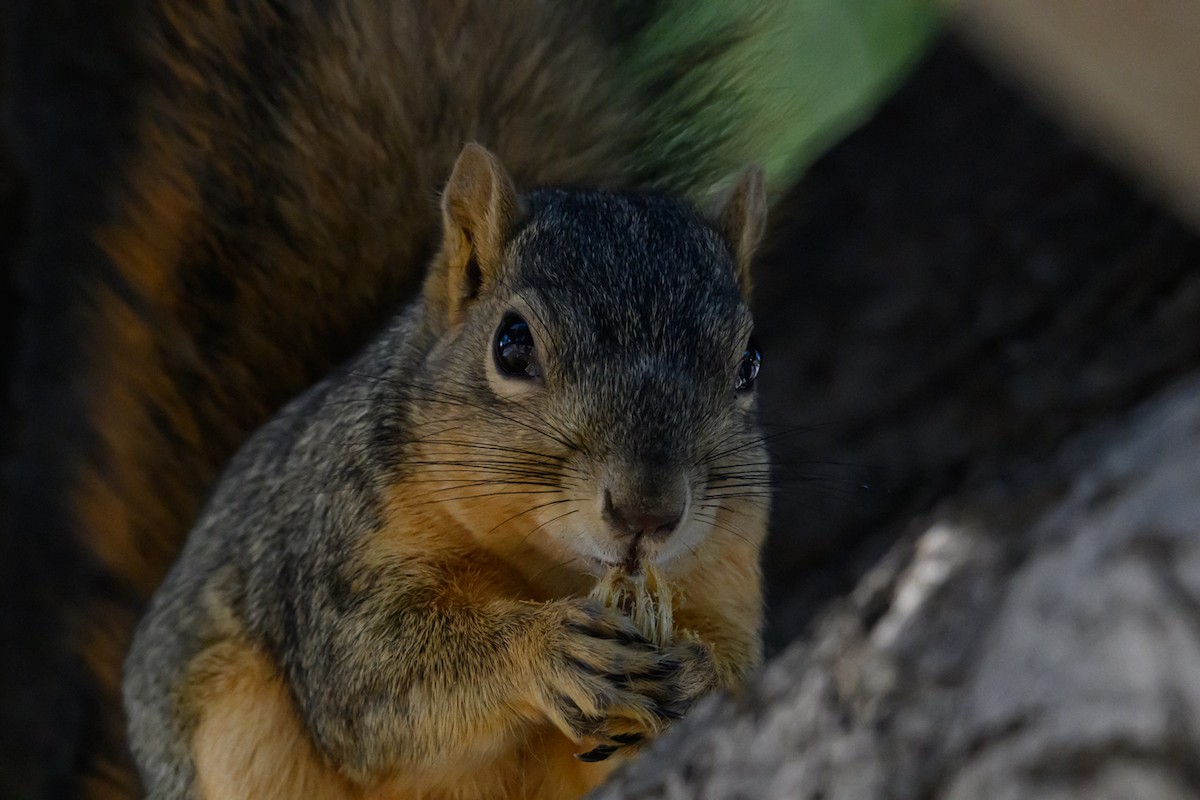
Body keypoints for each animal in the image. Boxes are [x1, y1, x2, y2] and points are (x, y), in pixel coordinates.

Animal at [123, 142, 770, 798]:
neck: (548, 571)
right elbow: (368, 680)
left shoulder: (725, 579)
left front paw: (701, 675)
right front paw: (545, 648)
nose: (647, 511)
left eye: (750, 363)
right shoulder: (336, 555)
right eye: (512, 343)